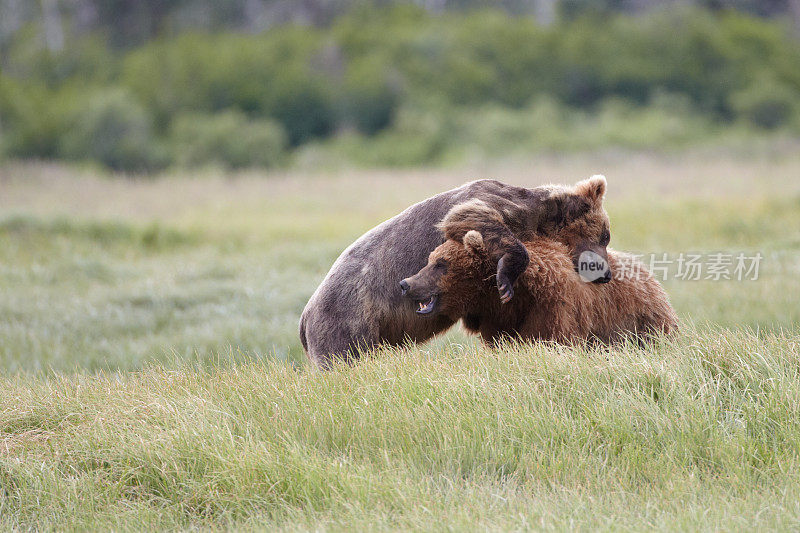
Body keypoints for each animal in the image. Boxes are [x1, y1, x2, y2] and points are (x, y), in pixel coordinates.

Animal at [302, 177, 612, 368]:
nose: (606, 274)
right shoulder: (493, 203)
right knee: (344, 358)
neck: (540, 215)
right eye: (605, 236)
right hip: (347, 319)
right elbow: (469, 217)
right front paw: (505, 280)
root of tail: (304, 318)